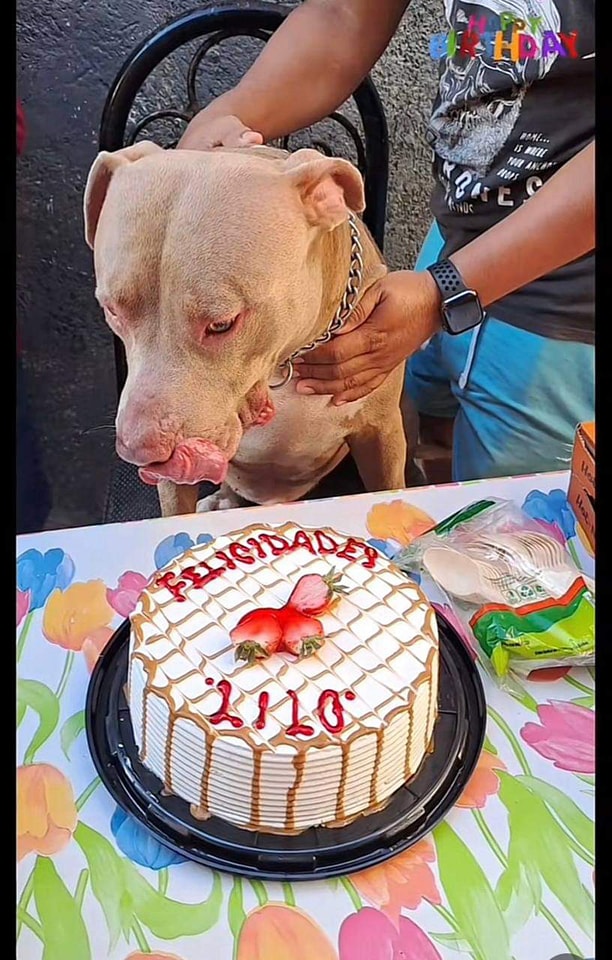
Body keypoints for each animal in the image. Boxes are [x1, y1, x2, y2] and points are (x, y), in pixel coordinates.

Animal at [83, 141, 414, 516]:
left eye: (221, 324)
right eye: (112, 311)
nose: (141, 448)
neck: (287, 361)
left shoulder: (380, 433)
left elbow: (389, 482)